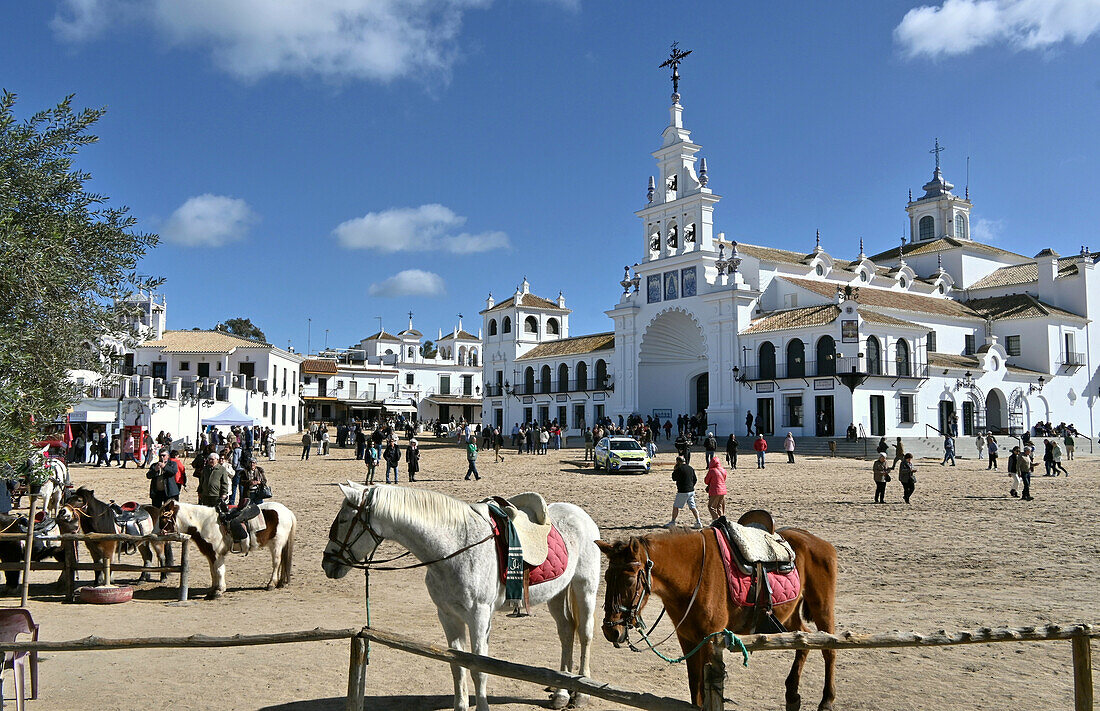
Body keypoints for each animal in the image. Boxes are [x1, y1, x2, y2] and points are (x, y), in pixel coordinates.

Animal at [159, 501, 297, 603]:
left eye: (164, 518)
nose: (159, 533)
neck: (204, 523)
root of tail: (287, 512)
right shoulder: (210, 554)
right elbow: (213, 571)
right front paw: (212, 590)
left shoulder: (217, 553)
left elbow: (219, 571)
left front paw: (219, 591)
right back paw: (280, 582)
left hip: (276, 544)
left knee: (276, 563)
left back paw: (271, 584)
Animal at [323, 484, 602, 711]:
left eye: (345, 519)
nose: (327, 562)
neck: (456, 547)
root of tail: (582, 515)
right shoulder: (448, 616)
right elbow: (457, 665)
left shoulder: (478, 617)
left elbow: (479, 668)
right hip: (557, 593)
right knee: (566, 632)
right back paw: (562, 693)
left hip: (584, 587)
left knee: (585, 634)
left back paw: (581, 694)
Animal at [598, 523, 836, 711]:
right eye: (607, 577)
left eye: (629, 580)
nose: (611, 630)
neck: (693, 574)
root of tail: (820, 543)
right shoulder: (688, 639)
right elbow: (695, 689)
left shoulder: (710, 639)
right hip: (787, 615)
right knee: (803, 639)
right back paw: (792, 695)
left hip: (822, 607)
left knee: (828, 648)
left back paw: (827, 700)